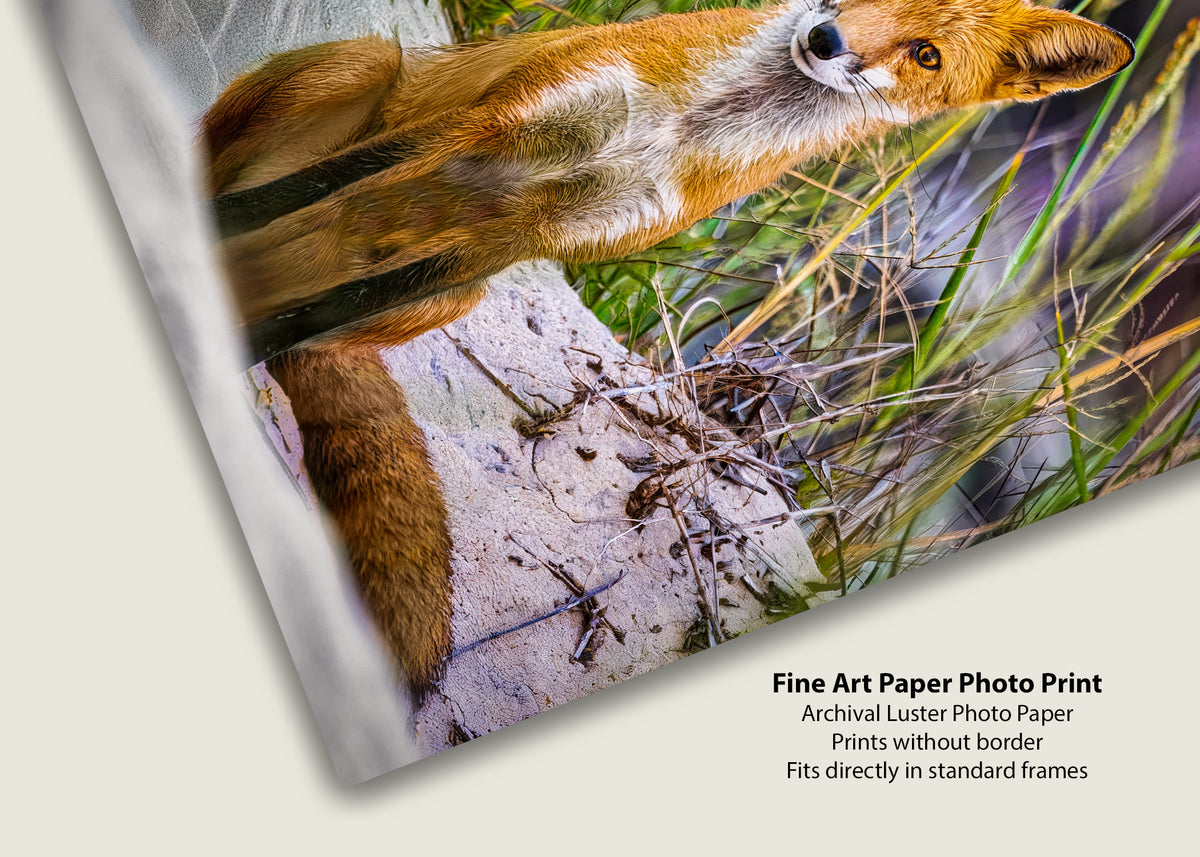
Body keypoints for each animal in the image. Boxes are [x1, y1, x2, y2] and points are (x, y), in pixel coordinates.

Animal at [203, 0, 1133, 695]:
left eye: (927, 54)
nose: (824, 40)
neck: (684, 124)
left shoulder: (514, 235)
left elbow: (303, 310)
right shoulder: (488, 129)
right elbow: (290, 193)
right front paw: (192, 231)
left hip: (449, 290)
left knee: (305, 319)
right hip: (360, 67)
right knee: (258, 187)